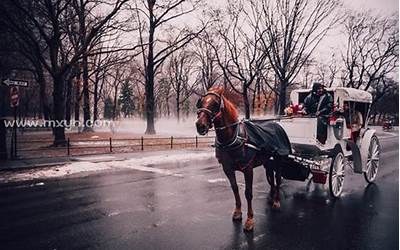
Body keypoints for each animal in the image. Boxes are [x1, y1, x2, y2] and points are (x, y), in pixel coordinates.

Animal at [195, 88, 286, 232]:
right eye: (201, 102)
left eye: (215, 103)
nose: (200, 125)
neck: (233, 137)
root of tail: (276, 124)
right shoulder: (227, 169)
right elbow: (235, 189)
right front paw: (237, 212)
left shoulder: (248, 169)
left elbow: (248, 193)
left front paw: (250, 220)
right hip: (268, 161)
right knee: (271, 176)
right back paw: (271, 196)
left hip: (278, 160)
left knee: (277, 179)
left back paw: (276, 201)